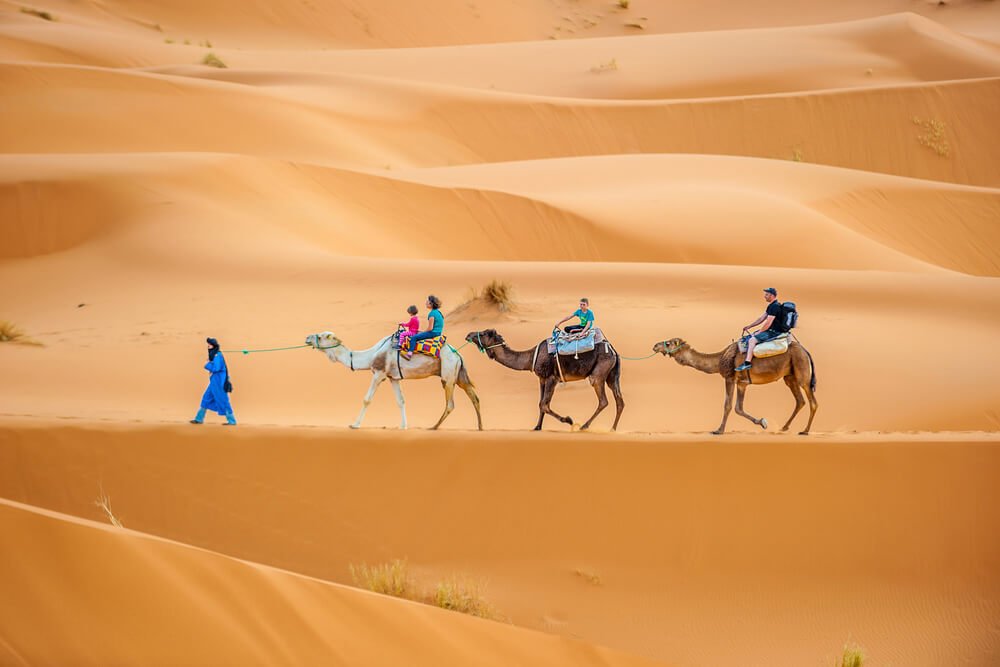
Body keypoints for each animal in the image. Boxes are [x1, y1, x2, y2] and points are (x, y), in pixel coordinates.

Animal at [304, 332, 484, 434]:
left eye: (320, 336)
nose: (307, 337)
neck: (371, 355)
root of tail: (458, 355)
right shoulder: (393, 378)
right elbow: (400, 401)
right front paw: (403, 426)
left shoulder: (379, 373)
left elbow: (367, 399)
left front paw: (354, 425)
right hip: (459, 375)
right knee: (474, 397)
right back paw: (480, 427)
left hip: (448, 374)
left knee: (450, 404)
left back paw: (434, 427)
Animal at [462, 330, 620, 434]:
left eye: (483, 333)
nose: (468, 334)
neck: (531, 357)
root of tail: (614, 350)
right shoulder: (542, 379)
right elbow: (540, 404)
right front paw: (537, 427)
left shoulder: (552, 378)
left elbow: (544, 404)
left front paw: (569, 420)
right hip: (612, 375)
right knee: (619, 401)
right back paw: (612, 429)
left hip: (599, 372)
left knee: (603, 400)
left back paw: (584, 427)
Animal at [652, 336, 816, 436]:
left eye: (668, 343)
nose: (655, 345)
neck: (719, 359)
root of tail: (806, 351)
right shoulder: (742, 383)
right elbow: (738, 408)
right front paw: (763, 422)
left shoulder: (729, 378)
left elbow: (728, 405)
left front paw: (719, 430)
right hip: (790, 376)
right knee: (800, 400)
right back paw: (784, 427)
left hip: (801, 370)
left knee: (812, 401)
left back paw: (805, 431)